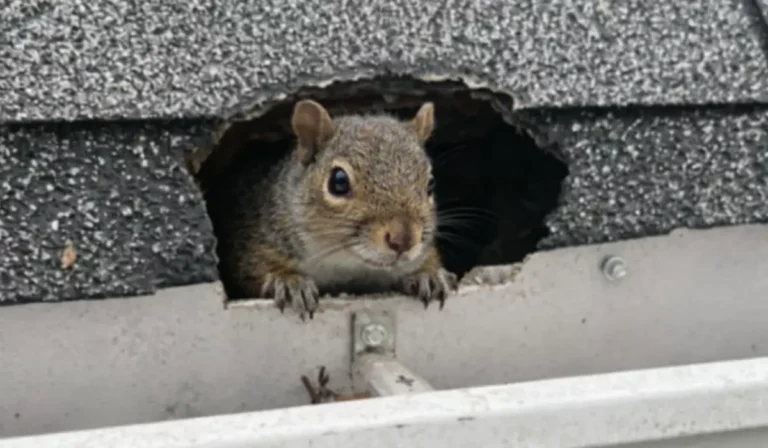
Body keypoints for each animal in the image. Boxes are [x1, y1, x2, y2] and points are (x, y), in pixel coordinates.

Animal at [209, 99, 458, 320]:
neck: (347, 267)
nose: (404, 239)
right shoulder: (253, 238)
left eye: (431, 183)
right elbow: (254, 268)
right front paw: (289, 281)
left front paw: (427, 274)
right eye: (338, 182)